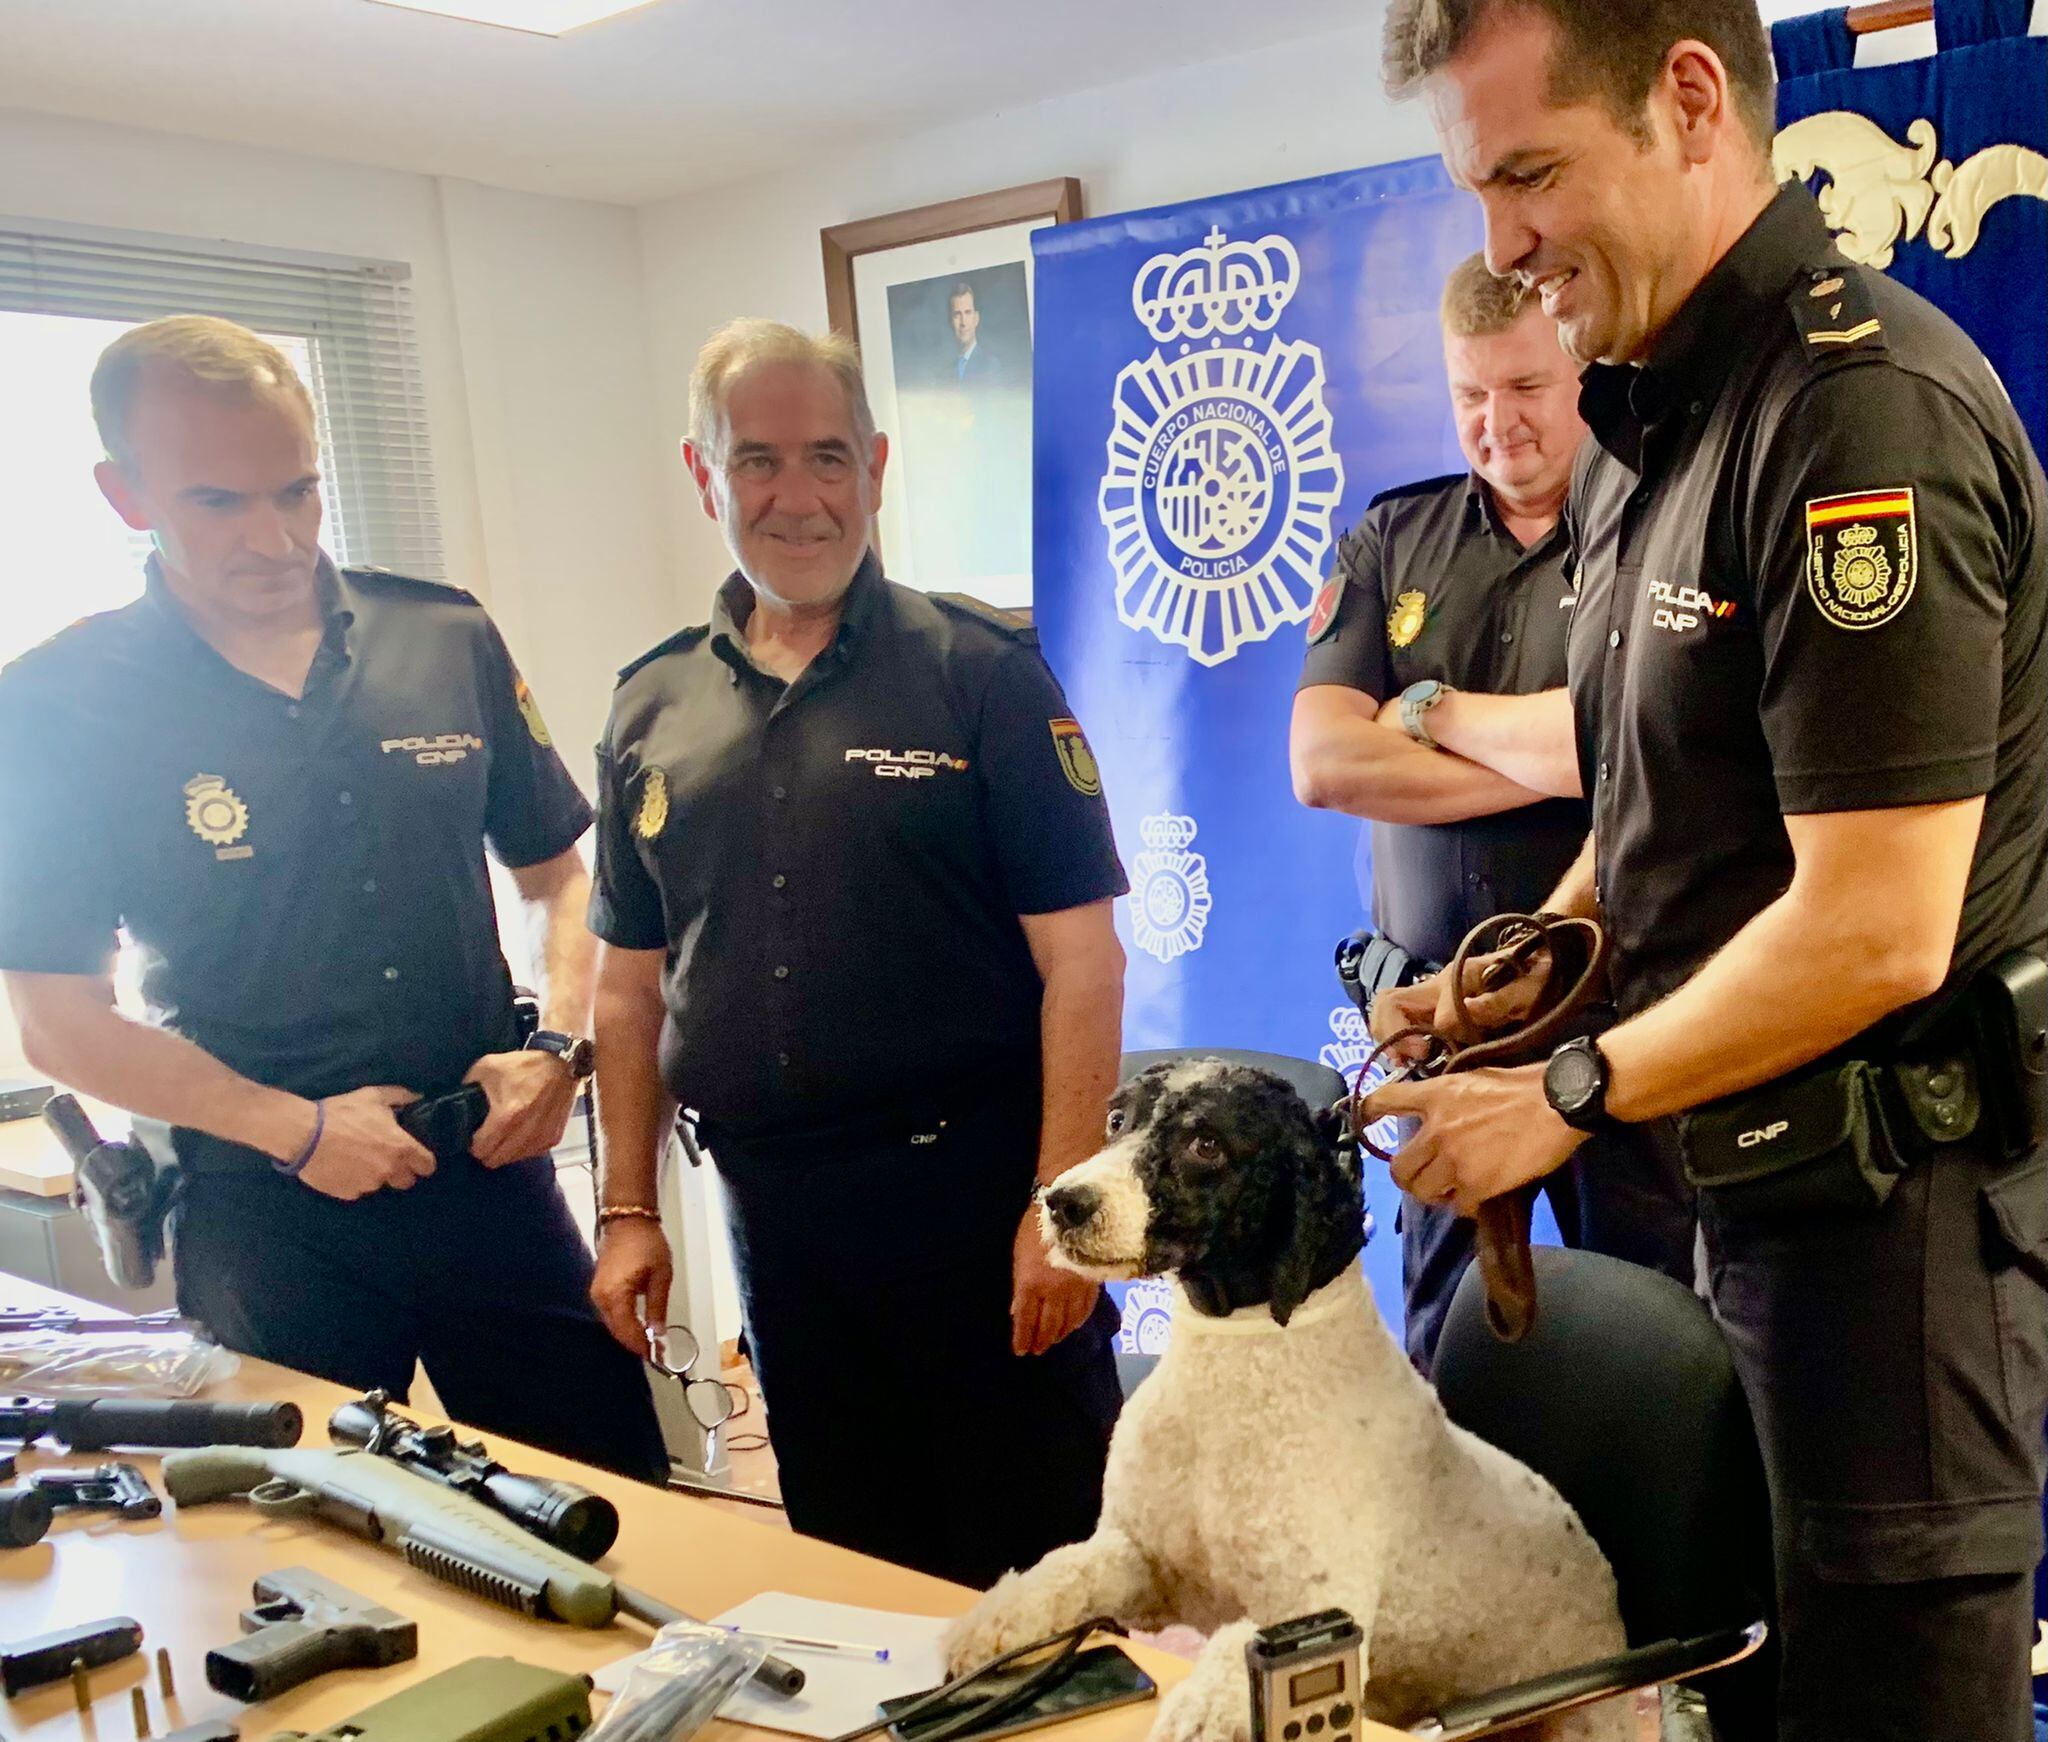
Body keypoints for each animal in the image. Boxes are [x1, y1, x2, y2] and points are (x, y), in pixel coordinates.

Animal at [942, 1064, 1630, 1742]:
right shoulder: (1141, 1558)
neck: (1239, 1366)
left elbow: (1226, 1680)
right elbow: (1062, 1574)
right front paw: (986, 1628)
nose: (1064, 1201)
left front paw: (1192, 1719)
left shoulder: (1312, 1600)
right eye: (1116, 1119)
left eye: (1206, 1144)